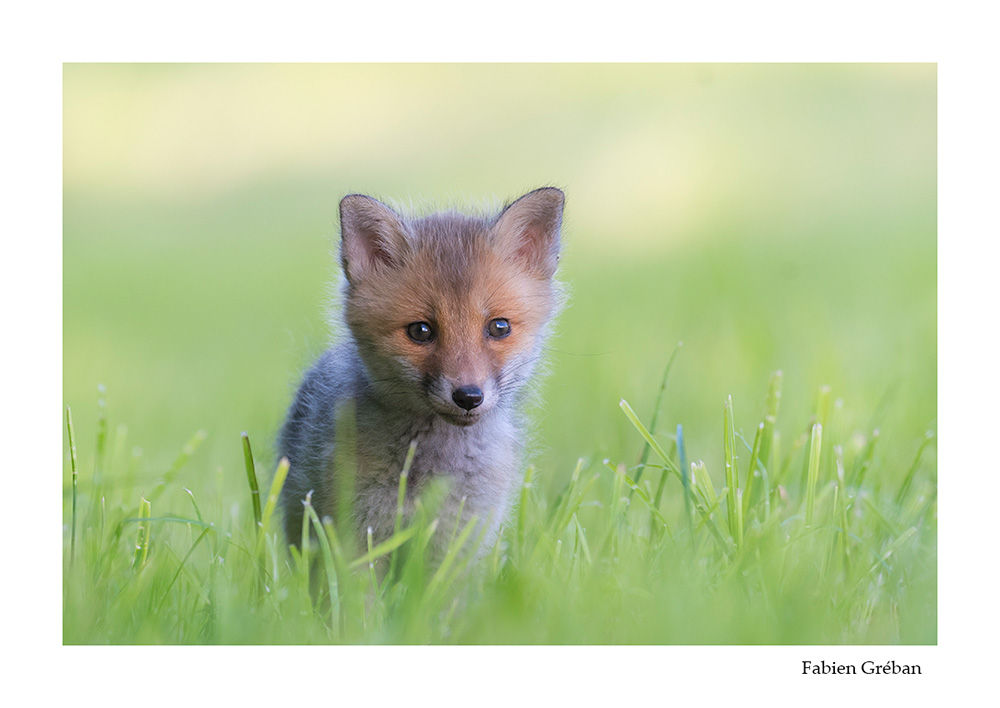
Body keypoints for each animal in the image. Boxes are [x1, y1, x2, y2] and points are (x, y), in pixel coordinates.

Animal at [277, 187, 565, 565]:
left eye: (499, 327)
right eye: (420, 330)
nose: (469, 396)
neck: (432, 466)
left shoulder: (462, 540)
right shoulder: (356, 536)